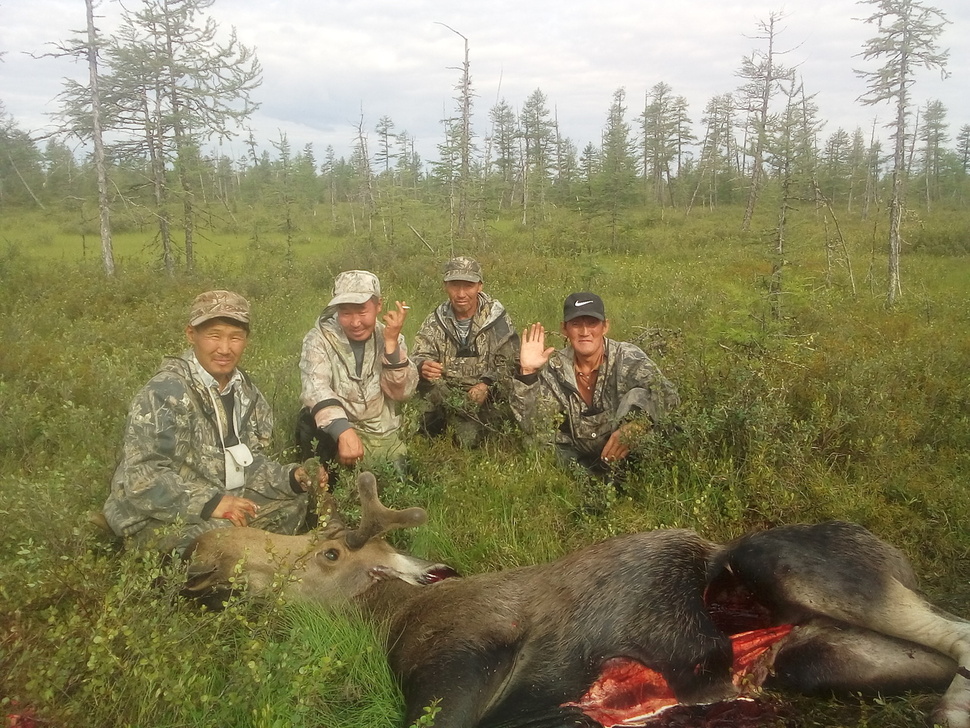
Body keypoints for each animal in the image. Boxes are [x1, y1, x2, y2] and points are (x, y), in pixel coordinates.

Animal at [183, 472, 968, 728]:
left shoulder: (457, 668)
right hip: (822, 656)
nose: (207, 556)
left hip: (785, 563)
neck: (389, 621)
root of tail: (893, 552)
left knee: (957, 629)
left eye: (328, 553)